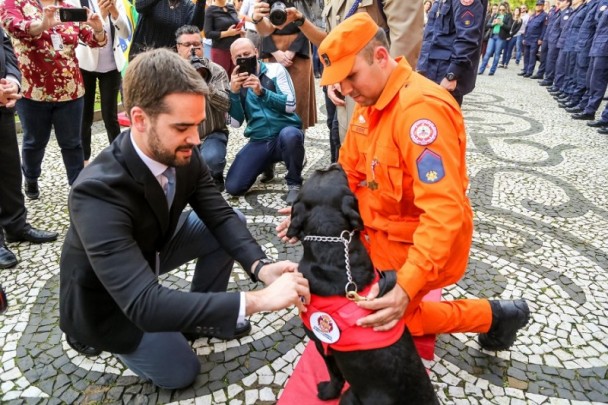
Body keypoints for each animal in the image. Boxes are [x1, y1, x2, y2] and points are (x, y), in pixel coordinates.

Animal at [284, 163, 436, 402]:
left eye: (322, 172)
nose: (335, 163)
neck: (333, 249)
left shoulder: (321, 343)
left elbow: (335, 375)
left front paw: (327, 393)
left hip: (350, 397)